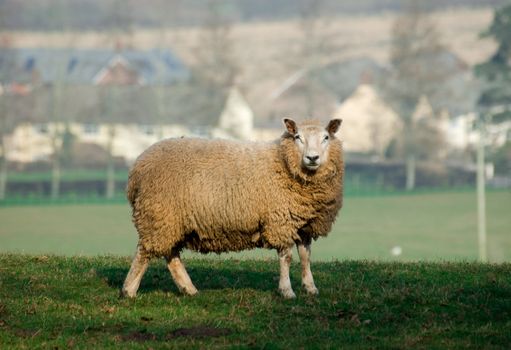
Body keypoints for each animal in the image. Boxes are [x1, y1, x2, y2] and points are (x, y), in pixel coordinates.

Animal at [122, 117, 344, 298]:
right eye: (297, 137)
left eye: (326, 137)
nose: (312, 158)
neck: (284, 163)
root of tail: (138, 167)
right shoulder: (280, 221)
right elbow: (287, 257)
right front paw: (287, 291)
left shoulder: (306, 224)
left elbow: (306, 257)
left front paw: (310, 288)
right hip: (158, 213)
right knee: (144, 252)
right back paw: (129, 290)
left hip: (170, 220)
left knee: (171, 254)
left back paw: (188, 289)